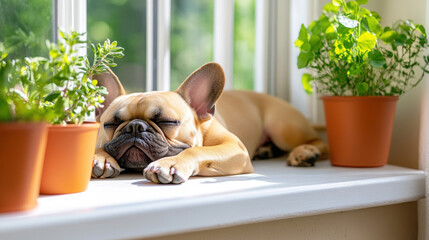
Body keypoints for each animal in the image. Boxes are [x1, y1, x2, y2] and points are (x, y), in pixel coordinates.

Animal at [91, 62, 328, 183]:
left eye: (168, 121)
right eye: (110, 124)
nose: (135, 127)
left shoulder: (235, 149)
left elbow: (196, 151)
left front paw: (171, 163)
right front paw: (100, 158)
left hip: (282, 128)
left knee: (319, 141)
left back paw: (304, 152)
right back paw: (266, 150)